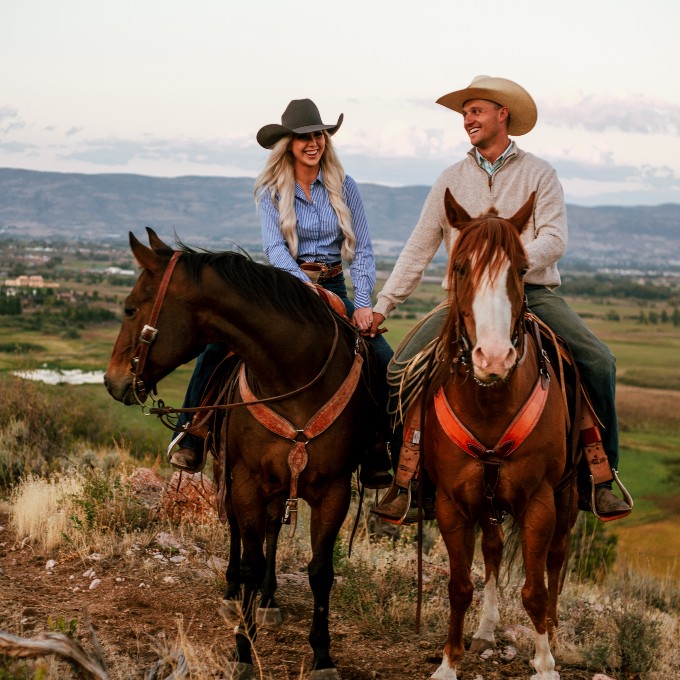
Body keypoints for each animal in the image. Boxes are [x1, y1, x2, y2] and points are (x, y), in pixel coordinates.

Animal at [104, 230, 378, 680]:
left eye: (130, 308)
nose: (112, 382)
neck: (294, 377)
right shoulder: (247, 480)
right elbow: (249, 556)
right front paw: (243, 650)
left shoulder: (333, 490)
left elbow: (320, 572)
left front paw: (322, 657)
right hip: (228, 471)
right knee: (236, 530)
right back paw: (235, 595)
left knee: (271, 530)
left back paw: (267, 599)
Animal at [424, 191, 572, 680]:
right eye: (459, 266)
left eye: (522, 270)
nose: (492, 358)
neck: (490, 401)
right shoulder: (451, 503)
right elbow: (459, 585)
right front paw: (449, 662)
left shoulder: (539, 501)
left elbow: (535, 589)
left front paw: (544, 665)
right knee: (491, 550)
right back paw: (486, 630)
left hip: (568, 497)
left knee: (557, 559)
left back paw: (554, 633)